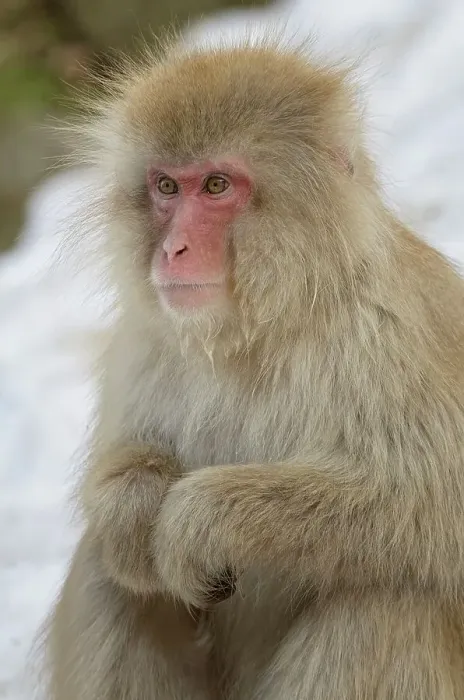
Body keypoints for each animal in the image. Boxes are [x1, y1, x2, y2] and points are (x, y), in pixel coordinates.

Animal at [43, 36, 464, 700]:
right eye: (167, 186)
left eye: (217, 185)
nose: (174, 250)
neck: (257, 327)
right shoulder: (145, 343)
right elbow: (121, 477)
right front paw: (136, 507)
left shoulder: (390, 331)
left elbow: (438, 498)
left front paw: (201, 519)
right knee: (105, 574)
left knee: (383, 597)